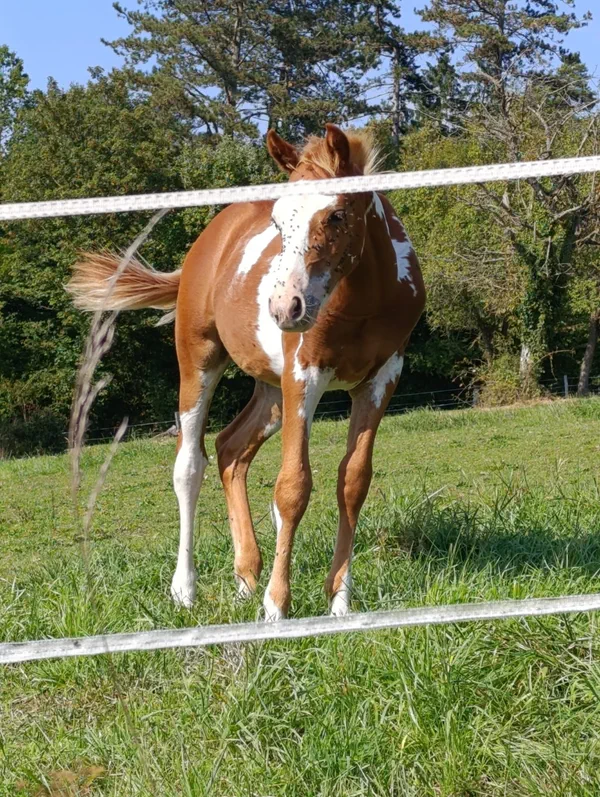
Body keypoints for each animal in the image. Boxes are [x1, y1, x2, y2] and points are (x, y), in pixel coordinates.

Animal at [68, 124, 426, 620]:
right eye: (278, 221)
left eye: (336, 215)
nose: (284, 307)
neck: (363, 301)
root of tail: (210, 238)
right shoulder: (303, 376)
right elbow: (292, 487)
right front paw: (276, 607)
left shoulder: (381, 379)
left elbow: (353, 481)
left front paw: (339, 603)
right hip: (200, 362)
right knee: (190, 465)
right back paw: (186, 590)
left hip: (270, 391)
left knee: (230, 449)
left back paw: (244, 579)